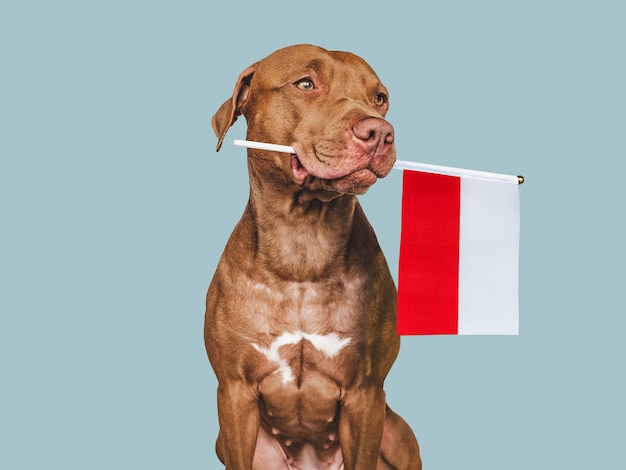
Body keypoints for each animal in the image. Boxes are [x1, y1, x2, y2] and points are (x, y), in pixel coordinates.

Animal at [205, 44, 420, 470]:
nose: (380, 132)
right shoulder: (234, 393)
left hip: (398, 434)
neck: (303, 245)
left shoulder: (366, 394)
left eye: (380, 98)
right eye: (305, 84)